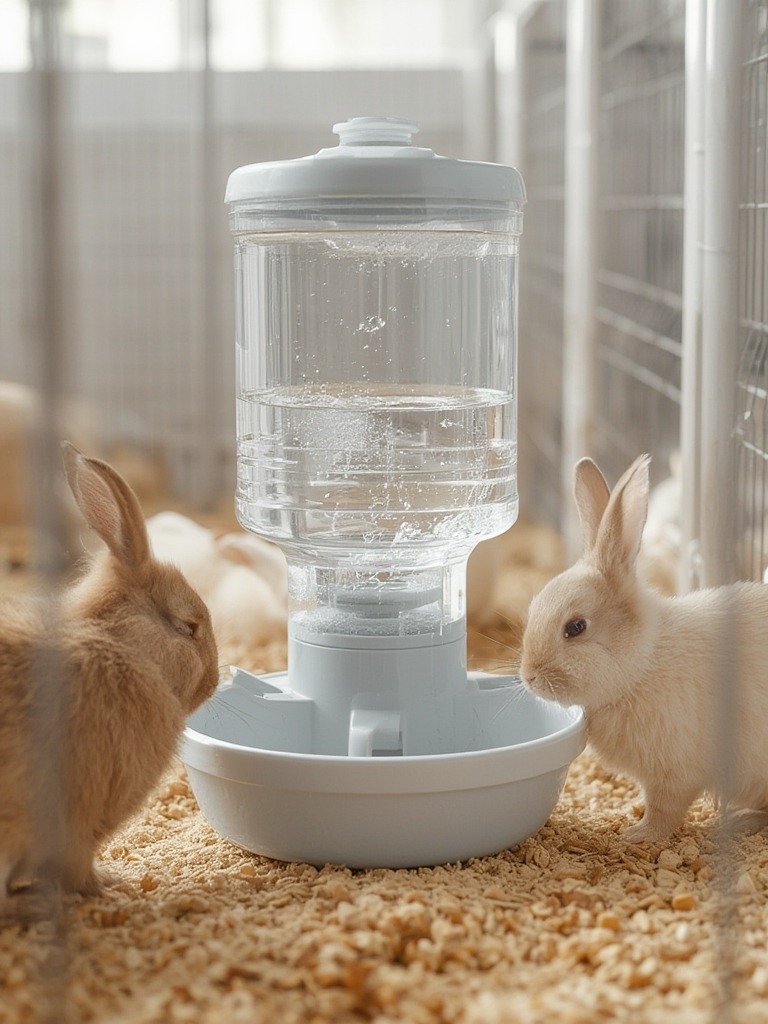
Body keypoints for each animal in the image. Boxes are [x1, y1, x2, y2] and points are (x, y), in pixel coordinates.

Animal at [0, 444, 219, 902]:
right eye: (188, 627)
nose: (214, 680)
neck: (120, 644)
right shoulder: (77, 825)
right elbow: (78, 868)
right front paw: (115, 887)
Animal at [520, 454, 768, 843]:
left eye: (575, 628)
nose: (529, 677)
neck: (643, 663)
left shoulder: (675, 776)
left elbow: (664, 812)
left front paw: (636, 835)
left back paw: (740, 820)